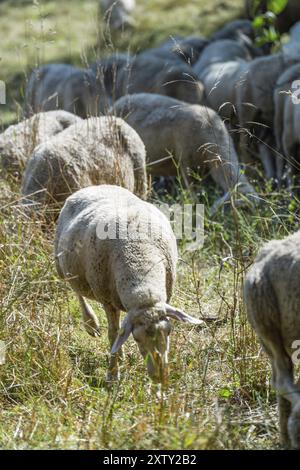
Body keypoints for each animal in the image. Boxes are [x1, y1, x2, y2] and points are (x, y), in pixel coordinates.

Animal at [54, 184, 203, 382]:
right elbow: (113, 334)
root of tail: (95, 186)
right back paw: (91, 324)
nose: (159, 376)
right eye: (137, 339)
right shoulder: (107, 301)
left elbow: (118, 334)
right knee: (77, 292)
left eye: (169, 332)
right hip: (62, 266)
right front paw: (112, 374)